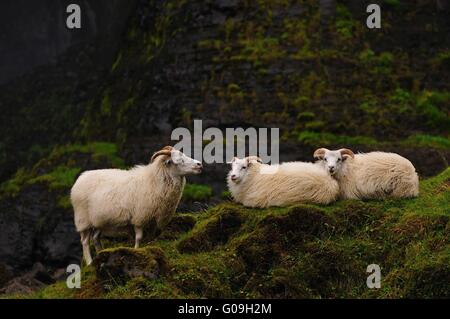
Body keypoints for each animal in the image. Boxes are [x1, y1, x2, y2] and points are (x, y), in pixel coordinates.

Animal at [71, 146, 202, 266]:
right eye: (179, 160)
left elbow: (150, 238)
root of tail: (80, 178)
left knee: (96, 238)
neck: (154, 180)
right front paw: (136, 251)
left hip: (99, 220)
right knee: (85, 242)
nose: (199, 164)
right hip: (83, 220)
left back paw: (100, 254)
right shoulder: (140, 217)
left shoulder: (153, 220)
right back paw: (89, 262)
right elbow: (139, 237)